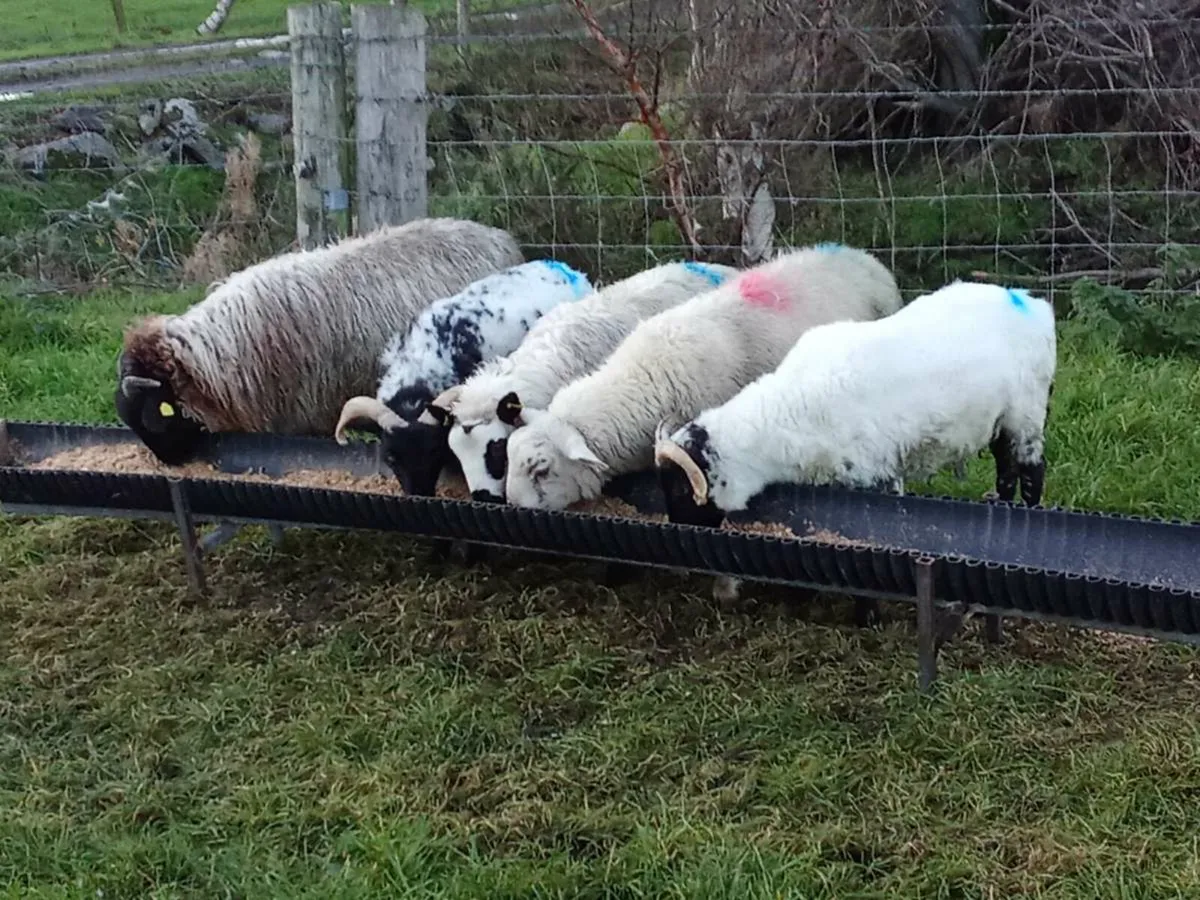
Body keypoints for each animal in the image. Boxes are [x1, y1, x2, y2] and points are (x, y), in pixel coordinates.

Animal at [653, 279, 1057, 611]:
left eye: (681, 489)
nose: (680, 563)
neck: (787, 412)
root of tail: (1033, 303)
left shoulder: (871, 471)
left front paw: (868, 612)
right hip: (1001, 421)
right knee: (1006, 469)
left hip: (1027, 412)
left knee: (1032, 471)